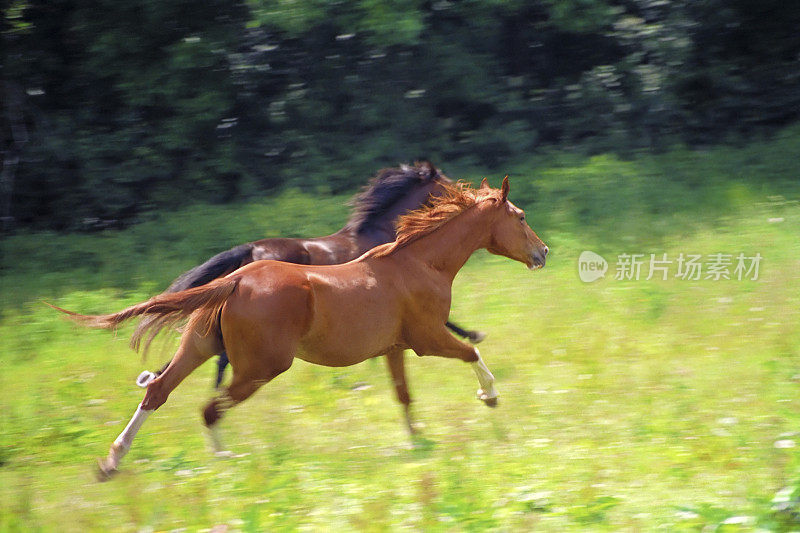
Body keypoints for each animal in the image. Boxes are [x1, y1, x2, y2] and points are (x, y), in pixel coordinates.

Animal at [141, 160, 484, 388]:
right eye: (449, 184)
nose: (469, 199)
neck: (381, 232)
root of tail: (250, 250)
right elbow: (445, 322)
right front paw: (474, 334)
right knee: (223, 361)